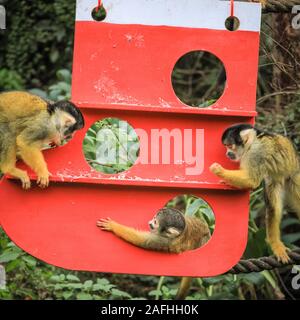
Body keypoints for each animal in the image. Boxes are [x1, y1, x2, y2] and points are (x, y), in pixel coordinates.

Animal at [209, 124, 300, 264]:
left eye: (229, 146)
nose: (227, 153)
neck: (253, 141)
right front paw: (229, 182)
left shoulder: (255, 154)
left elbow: (252, 180)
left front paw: (219, 170)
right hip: (277, 180)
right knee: (273, 207)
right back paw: (276, 244)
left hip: (295, 174)